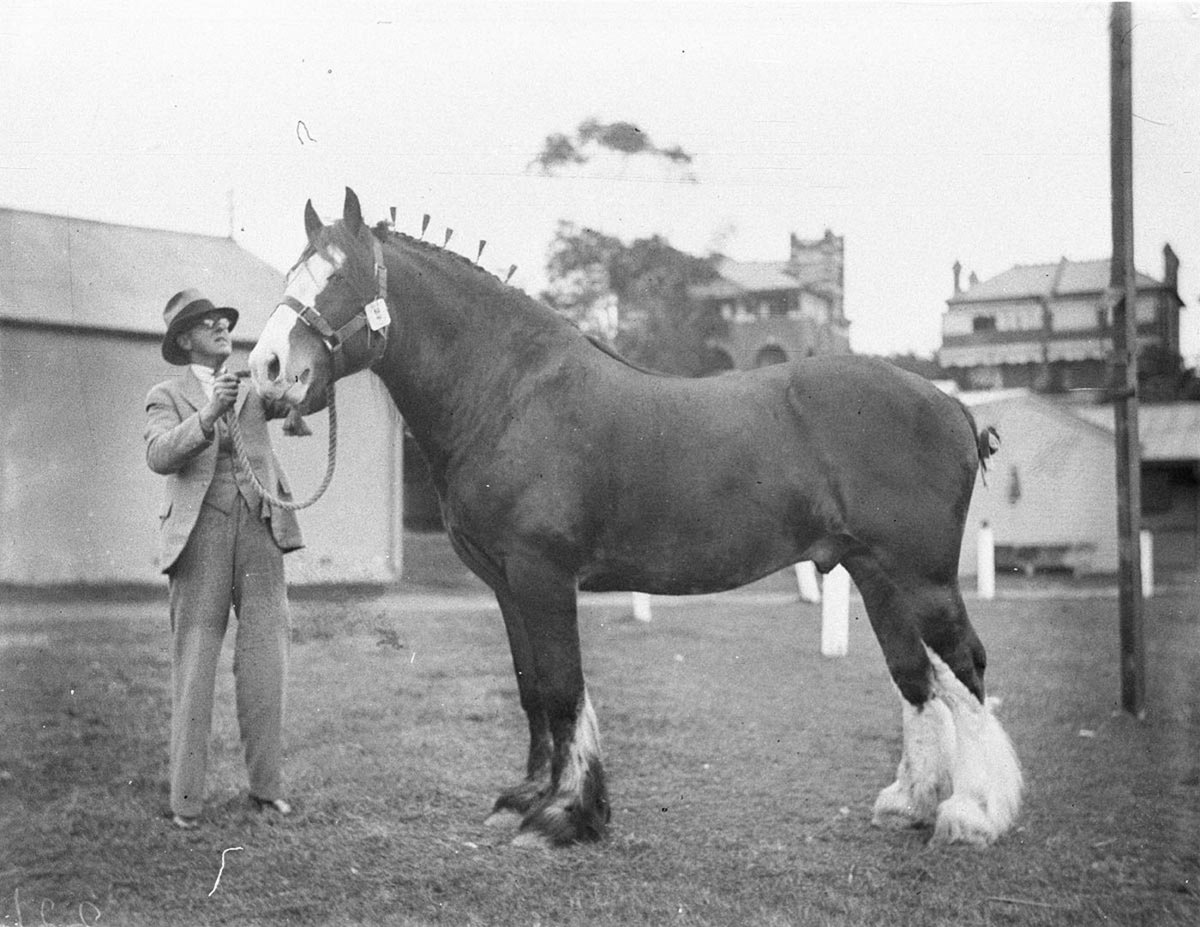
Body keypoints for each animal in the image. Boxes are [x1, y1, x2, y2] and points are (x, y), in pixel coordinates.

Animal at [247, 187, 1022, 849]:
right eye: (293, 273)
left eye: (340, 278)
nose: (267, 367)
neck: (509, 393)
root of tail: (951, 406)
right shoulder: (507, 584)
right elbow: (533, 689)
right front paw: (529, 798)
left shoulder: (543, 575)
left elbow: (563, 688)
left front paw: (565, 815)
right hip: (874, 573)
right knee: (915, 677)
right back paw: (911, 803)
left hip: (923, 579)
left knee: (964, 667)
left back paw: (972, 813)